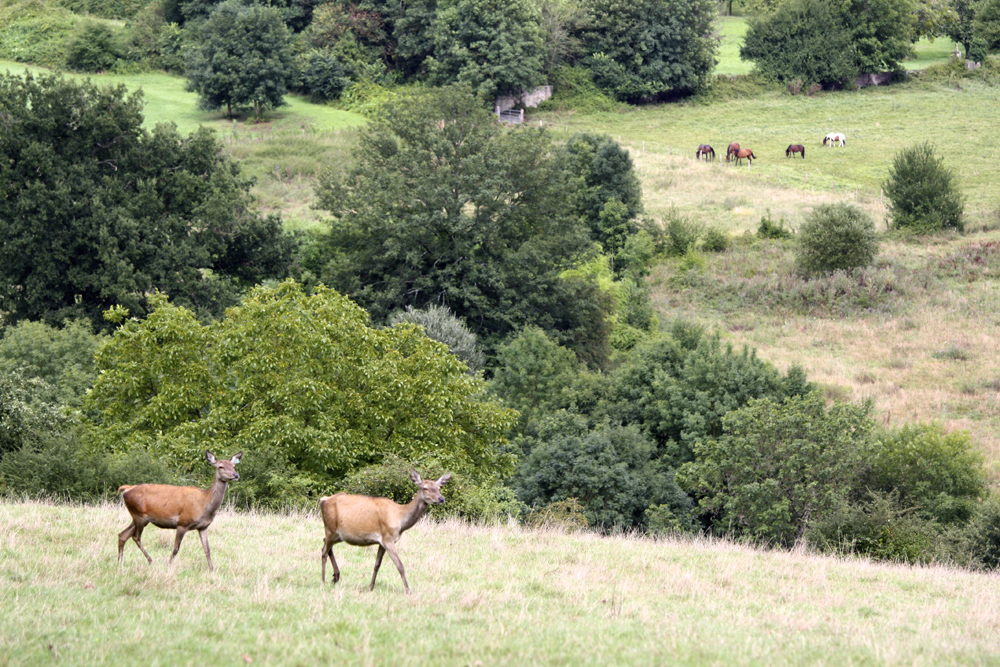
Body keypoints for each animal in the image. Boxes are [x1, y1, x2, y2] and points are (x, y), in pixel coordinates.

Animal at [320, 471, 451, 594]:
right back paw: (323, 581)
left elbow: (377, 565)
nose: (441, 499)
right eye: (425, 488)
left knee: (325, 543)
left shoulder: (381, 541)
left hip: (338, 534)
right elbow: (400, 565)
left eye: (439, 488)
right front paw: (408, 591)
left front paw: (370, 587)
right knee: (324, 551)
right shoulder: (388, 539)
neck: (400, 518)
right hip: (330, 528)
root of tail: (323, 500)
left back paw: (336, 576)